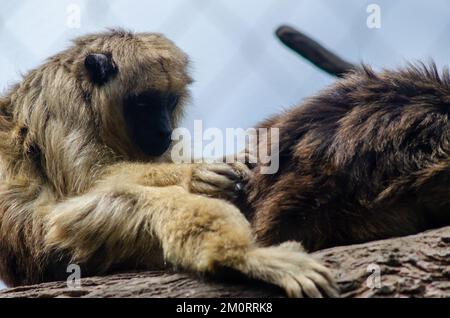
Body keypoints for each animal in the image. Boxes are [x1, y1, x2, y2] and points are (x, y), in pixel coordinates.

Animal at [0, 29, 338, 298]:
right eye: (143, 104)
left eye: (169, 102)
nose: (164, 130)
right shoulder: (59, 99)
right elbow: (88, 181)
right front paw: (196, 173)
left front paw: (230, 160)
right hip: (51, 249)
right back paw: (242, 257)